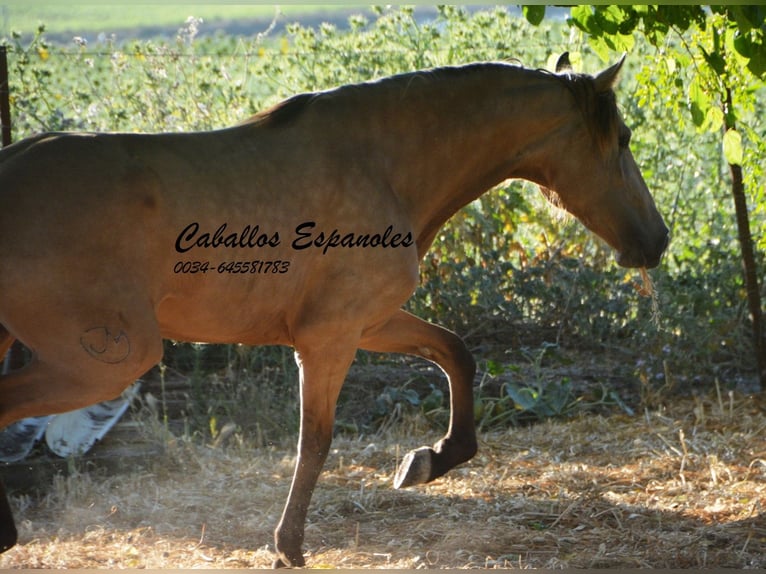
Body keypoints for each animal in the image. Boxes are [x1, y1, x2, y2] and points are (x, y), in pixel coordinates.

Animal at [0, 54, 664, 568]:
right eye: (624, 140)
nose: (657, 241)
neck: (380, 164)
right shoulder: (329, 338)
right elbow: (315, 441)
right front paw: (288, 546)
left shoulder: (369, 323)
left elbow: (455, 354)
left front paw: (429, 461)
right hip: (106, 359)